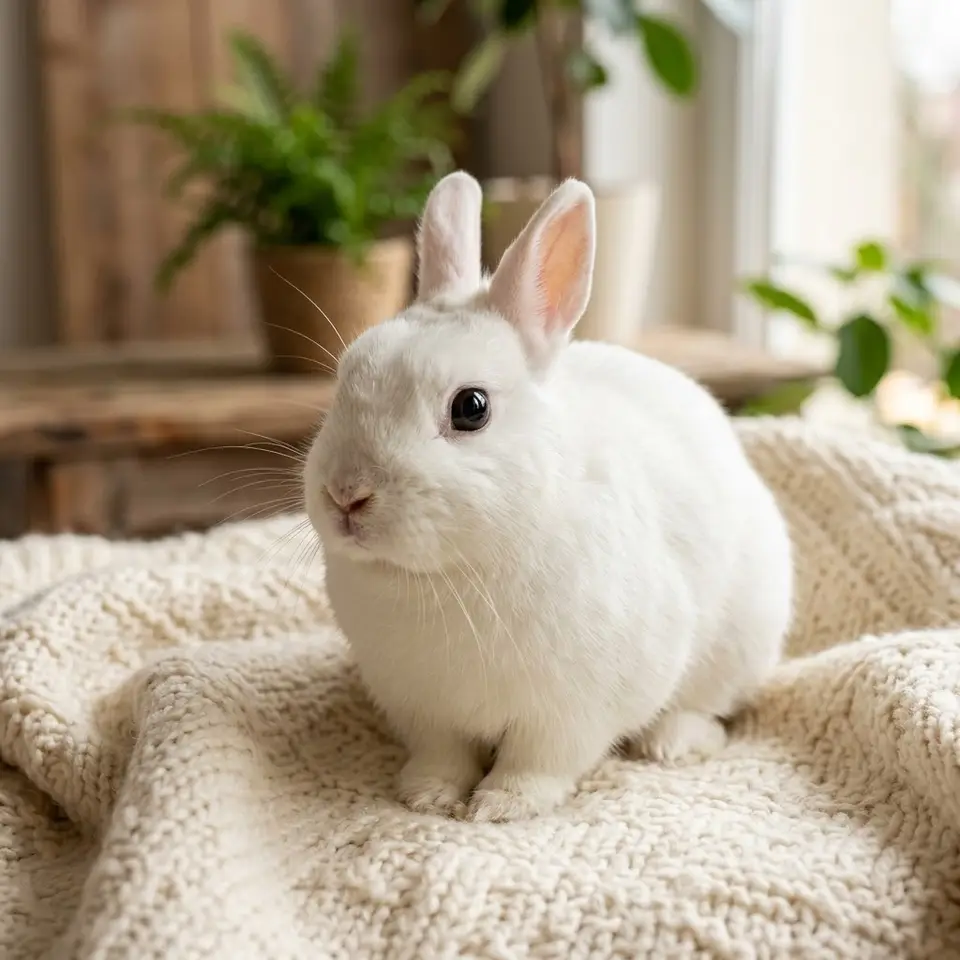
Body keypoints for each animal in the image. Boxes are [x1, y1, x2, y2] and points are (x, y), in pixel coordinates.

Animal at [303, 171, 793, 823]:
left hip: (742, 641)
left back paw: (672, 743)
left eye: (471, 408)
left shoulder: (572, 710)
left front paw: (502, 807)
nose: (345, 494)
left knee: (709, 707)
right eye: (344, 381)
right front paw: (427, 797)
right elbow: (443, 754)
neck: (447, 575)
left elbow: (539, 760)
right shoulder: (421, 707)